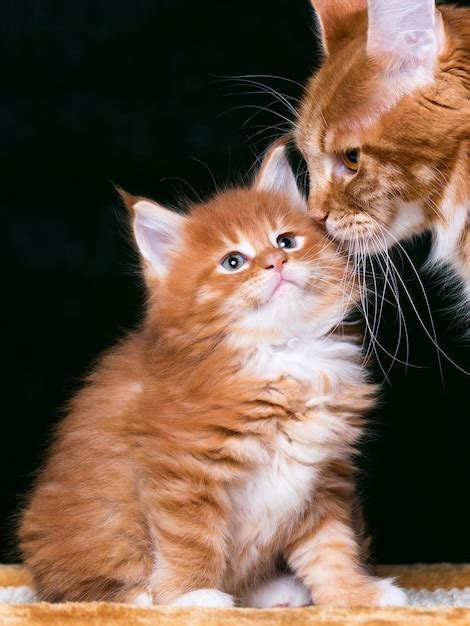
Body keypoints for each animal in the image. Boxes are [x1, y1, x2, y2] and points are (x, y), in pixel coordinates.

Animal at [19, 146, 404, 604]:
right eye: (232, 262)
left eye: (285, 240)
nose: (276, 262)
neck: (281, 355)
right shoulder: (182, 472)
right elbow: (192, 541)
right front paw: (194, 596)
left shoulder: (322, 479)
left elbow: (331, 550)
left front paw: (357, 596)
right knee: (81, 590)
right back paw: (144, 597)